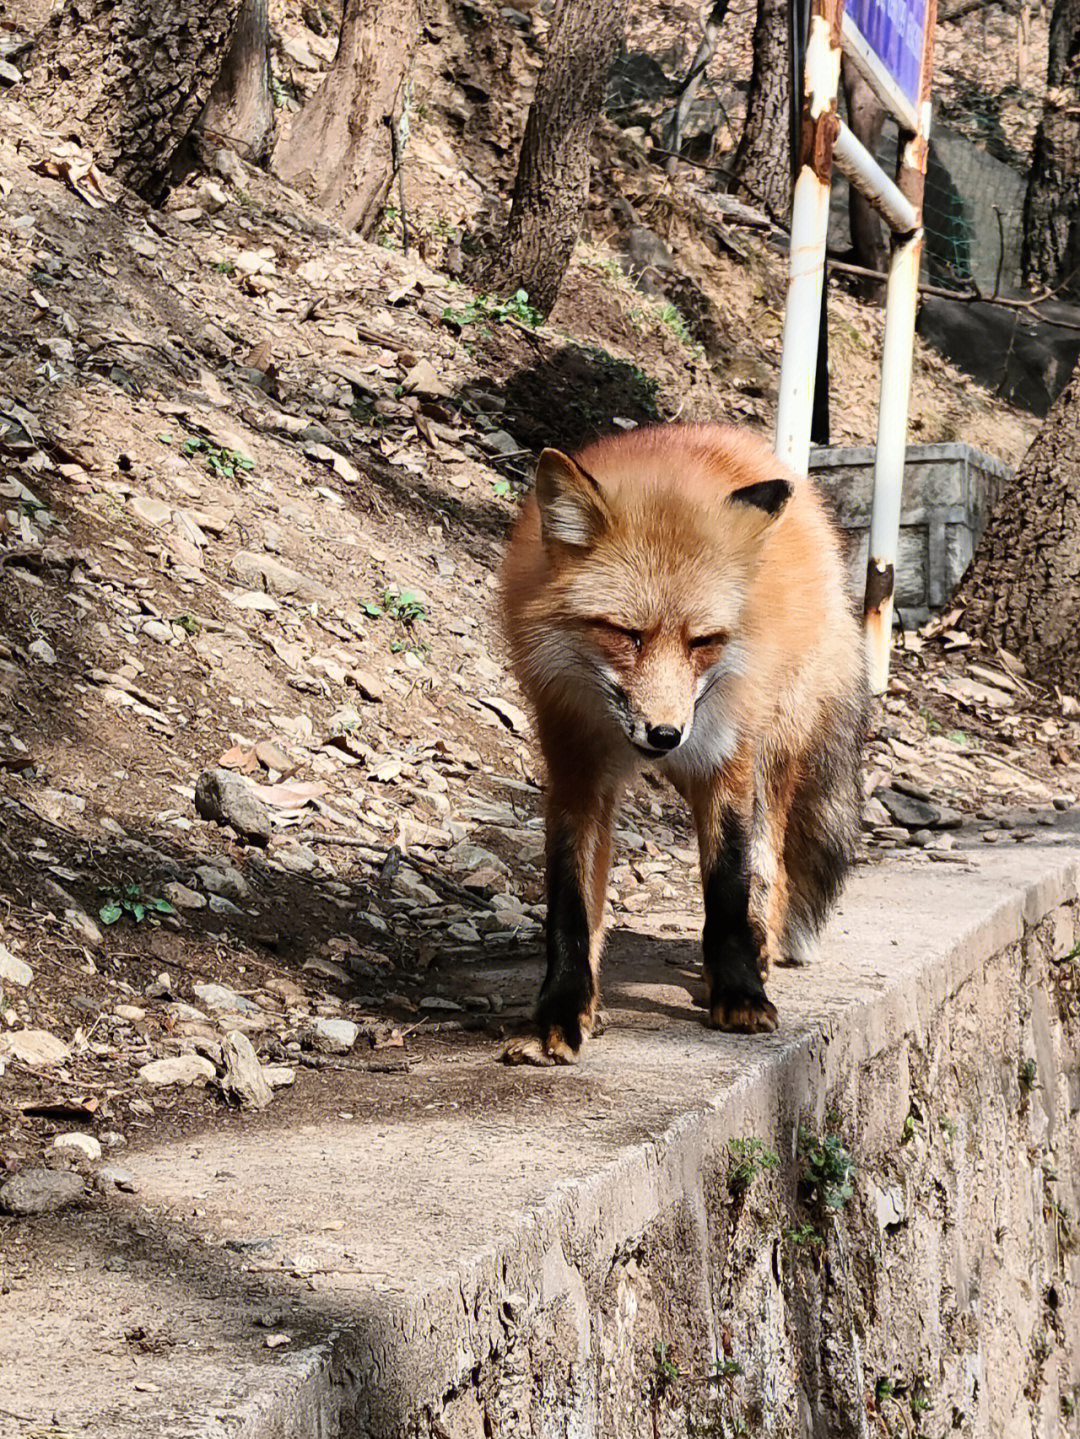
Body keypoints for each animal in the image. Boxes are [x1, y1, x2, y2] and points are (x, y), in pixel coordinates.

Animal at [500, 420, 868, 1064]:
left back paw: (759, 951)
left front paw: (739, 993)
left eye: (702, 641)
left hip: (770, 751)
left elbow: (727, 884)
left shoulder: (725, 760)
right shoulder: (575, 767)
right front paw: (565, 1010)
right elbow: (571, 904)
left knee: (772, 866)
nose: (666, 734)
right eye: (627, 635)